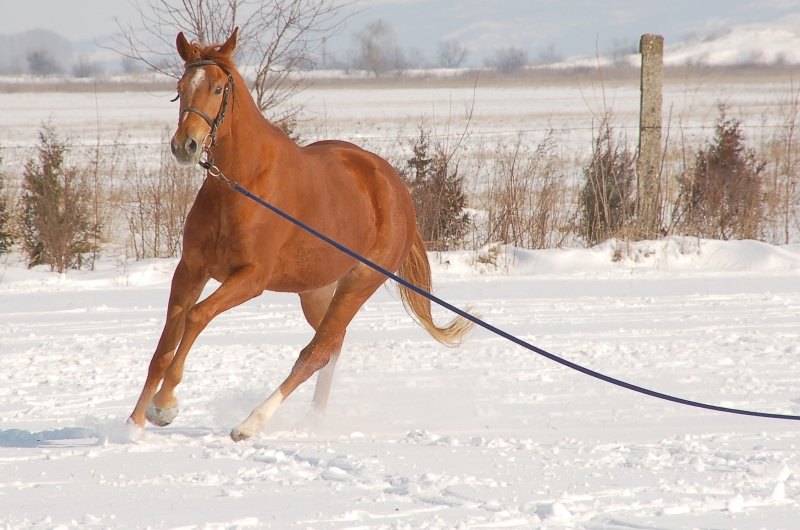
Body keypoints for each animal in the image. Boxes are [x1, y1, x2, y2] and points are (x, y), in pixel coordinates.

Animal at [128, 29, 472, 442]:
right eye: (180, 88)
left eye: (216, 88)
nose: (185, 146)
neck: (241, 186)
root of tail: (398, 192)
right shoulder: (191, 269)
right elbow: (165, 344)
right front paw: (133, 423)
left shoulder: (251, 278)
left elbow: (196, 317)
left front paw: (164, 407)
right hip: (315, 290)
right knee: (332, 344)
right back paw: (314, 417)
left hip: (358, 283)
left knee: (316, 351)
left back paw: (251, 423)